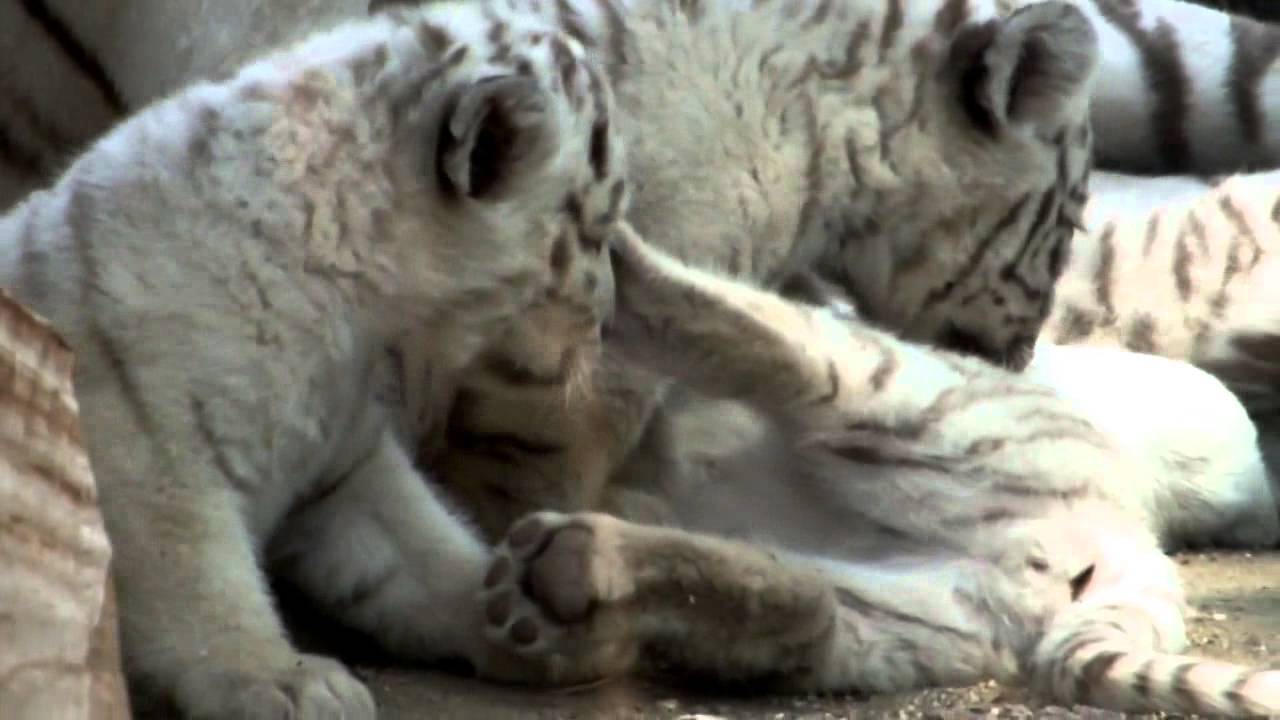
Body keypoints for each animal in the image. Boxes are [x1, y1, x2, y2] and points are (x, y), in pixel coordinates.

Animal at [0, 3, 629, 717]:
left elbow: (419, 545)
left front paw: (523, 612)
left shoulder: (344, 463)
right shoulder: (148, 446)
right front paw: (279, 679)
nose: (610, 317)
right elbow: (196, 578)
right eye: (593, 229)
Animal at [473, 220, 1280, 717]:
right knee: (803, 605)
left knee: (780, 343)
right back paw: (571, 571)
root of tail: (1130, 538)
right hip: (909, 621)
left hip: (906, 396)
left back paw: (622, 260)